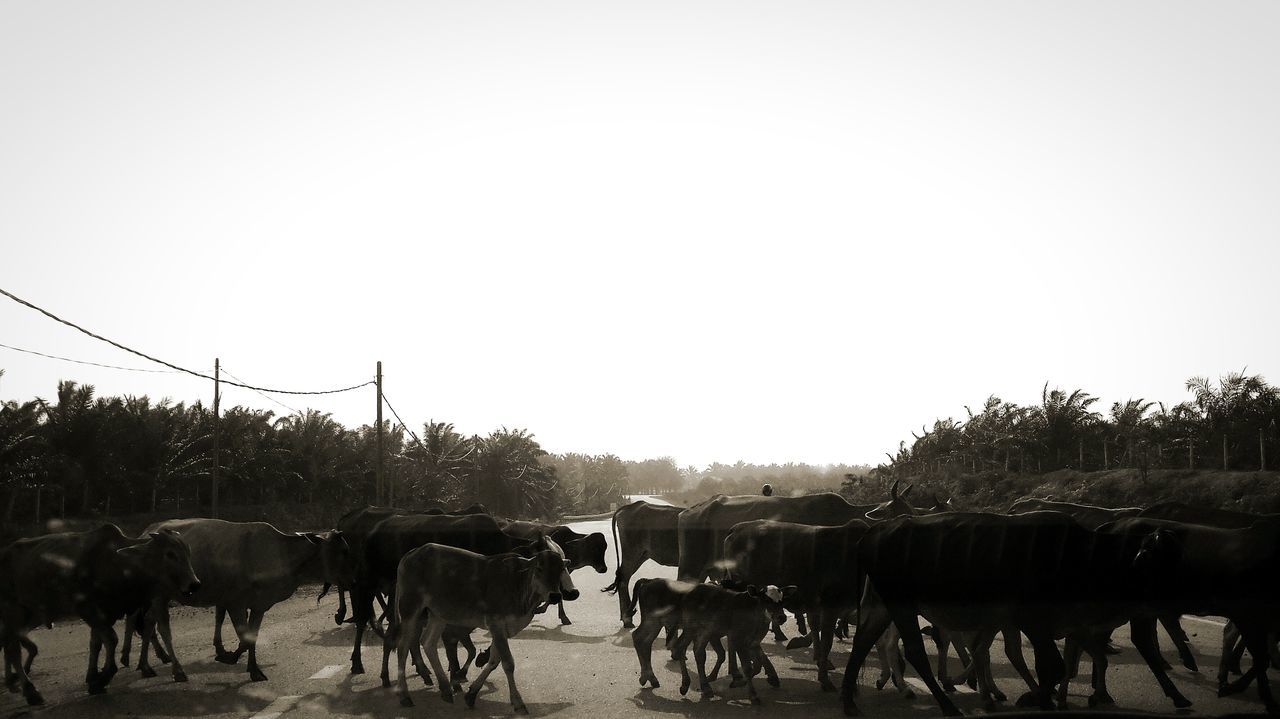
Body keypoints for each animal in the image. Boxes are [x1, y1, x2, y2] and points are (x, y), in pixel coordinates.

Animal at [0, 524, 198, 701]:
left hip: (30, 615)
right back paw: (29, 690)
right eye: (170, 554)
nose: (194, 584)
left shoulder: (105, 615)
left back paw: (14, 681)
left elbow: (97, 643)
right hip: (13, 611)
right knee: (13, 649)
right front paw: (102, 678)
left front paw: (94, 676)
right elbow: (111, 640)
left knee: (11, 645)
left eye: (188, 552)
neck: (117, 563)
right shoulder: (89, 610)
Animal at [138, 516, 355, 680]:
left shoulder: (260, 605)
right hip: (160, 595)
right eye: (343, 551)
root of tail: (148, 531)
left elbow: (253, 637)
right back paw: (176, 669)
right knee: (162, 628)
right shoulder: (235, 603)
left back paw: (146, 665)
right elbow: (244, 638)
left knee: (147, 623)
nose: (354, 578)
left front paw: (253, 669)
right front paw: (230, 659)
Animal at [389, 534, 581, 706]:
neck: (517, 584)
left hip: (438, 614)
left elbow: (494, 661)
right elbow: (508, 663)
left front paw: (472, 694)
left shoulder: (504, 629)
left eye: (561, 569)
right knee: (403, 646)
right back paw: (405, 695)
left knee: (428, 643)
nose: (555, 595)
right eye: (539, 568)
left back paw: (445, 689)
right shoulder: (495, 623)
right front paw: (517, 702)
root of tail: (412, 553)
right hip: (410, 608)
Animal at [604, 498, 686, 626]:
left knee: (623, 578)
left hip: (641, 556)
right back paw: (627, 619)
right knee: (623, 580)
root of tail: (629, 507)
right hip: (631, 553)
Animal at [627, 573, 793, 701]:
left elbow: (759, 660)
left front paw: (770, 678)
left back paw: (651, 678)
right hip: (654, 621)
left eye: (782, 600)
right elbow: (747, 664)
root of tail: (648, 581)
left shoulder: (751, 641)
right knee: (640, 638)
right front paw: (747, 687)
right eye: (766, 599)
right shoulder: (736, 638)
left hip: (660, 624)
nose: (781, 617)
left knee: (647, 641)